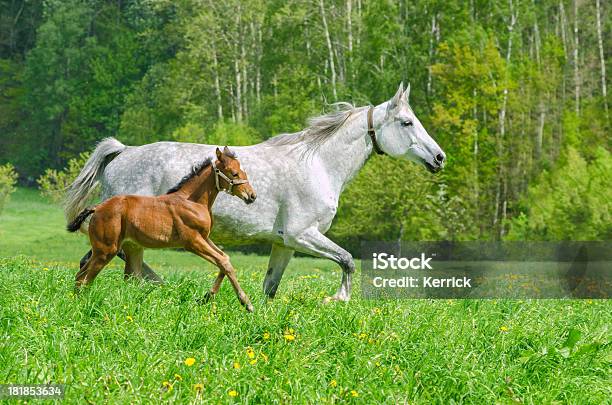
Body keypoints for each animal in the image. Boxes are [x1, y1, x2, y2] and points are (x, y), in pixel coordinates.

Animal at [67, 147, 258, 310]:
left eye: (243, 171)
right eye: (234, 173)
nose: (252, 196)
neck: (193, 202)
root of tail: (97, 208)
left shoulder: (204, 237)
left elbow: (224, 258)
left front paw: (206, 297)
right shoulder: (192, 241)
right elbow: (223, 261)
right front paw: (246, 303)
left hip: (130, 248)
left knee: (103, 277)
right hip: (106, 250)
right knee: (85, 278)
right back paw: (82, 306)